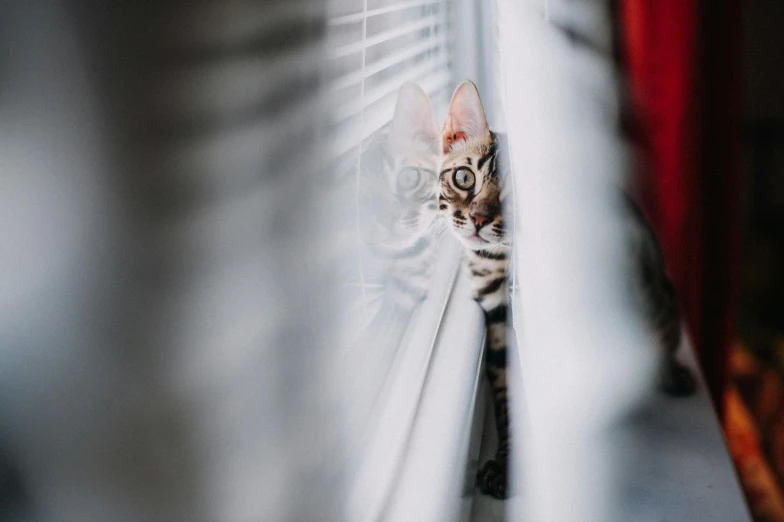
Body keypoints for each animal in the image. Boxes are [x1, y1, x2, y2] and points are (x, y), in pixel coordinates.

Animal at [438, 80, 696, 496]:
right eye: (464, 177)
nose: (477, 219)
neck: (496, 263)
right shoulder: (499, 323)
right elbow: (508, 395)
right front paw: (508, 460)